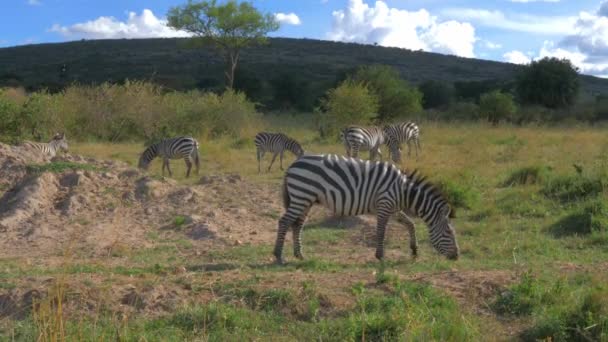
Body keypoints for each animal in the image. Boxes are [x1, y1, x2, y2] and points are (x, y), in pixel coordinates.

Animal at [274, 155, 458, 264]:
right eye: (449, 233)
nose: (457, 256)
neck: (404, 191)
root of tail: (294, 163)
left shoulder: (393, 208)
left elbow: (410, 224)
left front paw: (414, 250)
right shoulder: (384, 205)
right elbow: (381, 232)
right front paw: (380, 256)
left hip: (306, 200)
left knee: (297, 224)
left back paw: (299, 255)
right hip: (301, 196)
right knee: (284, 222)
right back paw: (278, 255)